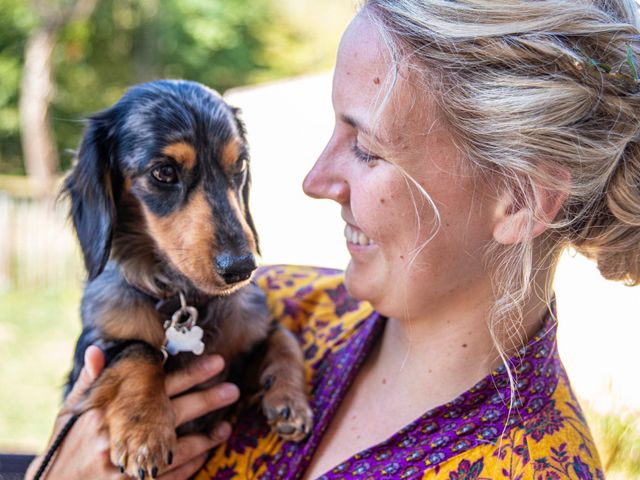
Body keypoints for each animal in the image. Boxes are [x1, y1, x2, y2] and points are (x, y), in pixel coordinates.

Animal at [64, 80, 312, 478]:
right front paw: (145, 433)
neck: (182, 297)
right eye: (164, 172)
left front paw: (290, 398)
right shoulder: (92, 351)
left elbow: (283, 337)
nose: (241, 268)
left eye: (240, 164)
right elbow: (140, 349)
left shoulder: (250, 331)